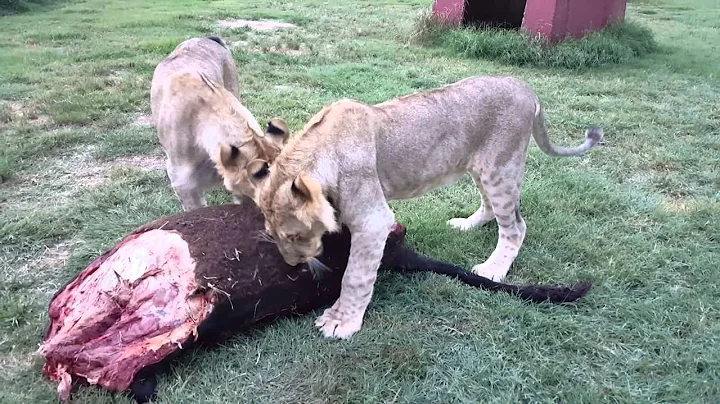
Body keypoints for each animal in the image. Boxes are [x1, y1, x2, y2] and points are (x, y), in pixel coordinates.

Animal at [250, 75, 604, 338]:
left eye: (295, 236)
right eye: (274, 236)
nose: (293, 264)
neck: (317, 152)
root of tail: (525, 87)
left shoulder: (374, 219)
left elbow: (356, 275)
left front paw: (340, 321)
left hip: (501, 168)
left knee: (515, 226)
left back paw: (493, 268)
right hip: (482, 167)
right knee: (490, 207)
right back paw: (465, 225)